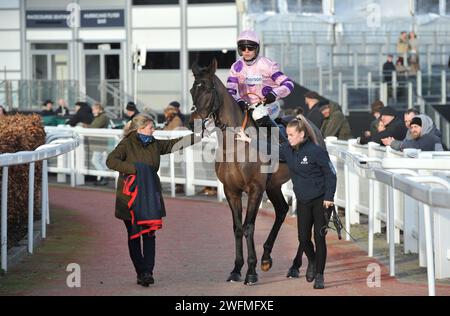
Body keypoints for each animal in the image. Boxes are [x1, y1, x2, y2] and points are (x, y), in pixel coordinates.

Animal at [188, 58, 322, 286]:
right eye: (191, 90)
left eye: (206, 88)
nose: (191, 123)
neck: (236, 146)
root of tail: (312, 126)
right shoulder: (231, 190)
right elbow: (237, 227)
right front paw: (236, 269)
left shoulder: (255, 189)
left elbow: (249, 226)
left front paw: (251, 271)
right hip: (274, 185)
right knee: (282, 210)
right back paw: (267, 257)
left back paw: (295, 266)